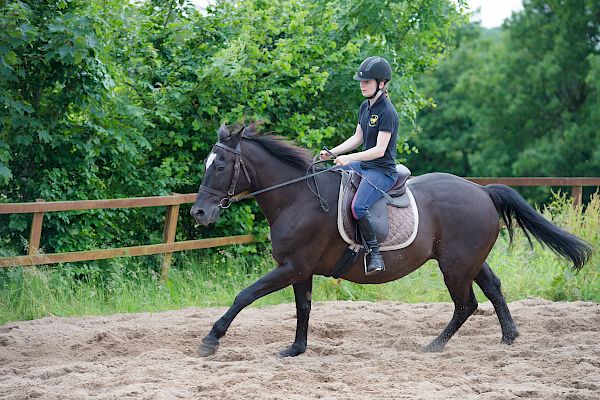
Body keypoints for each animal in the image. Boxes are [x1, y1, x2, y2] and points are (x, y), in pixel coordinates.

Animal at [191, 123, 592, 358]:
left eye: (220, 166)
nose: (199, 213)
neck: (298, 197)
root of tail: (482, 191)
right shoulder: (300, 270)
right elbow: (303, 308)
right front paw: (296, 348)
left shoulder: (291, 267)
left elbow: (245, 295)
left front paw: (211, 339)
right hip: (468, 261)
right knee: (492, 287)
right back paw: (508, 336)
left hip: (455, 266)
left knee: (466, 304)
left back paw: (433, 346)